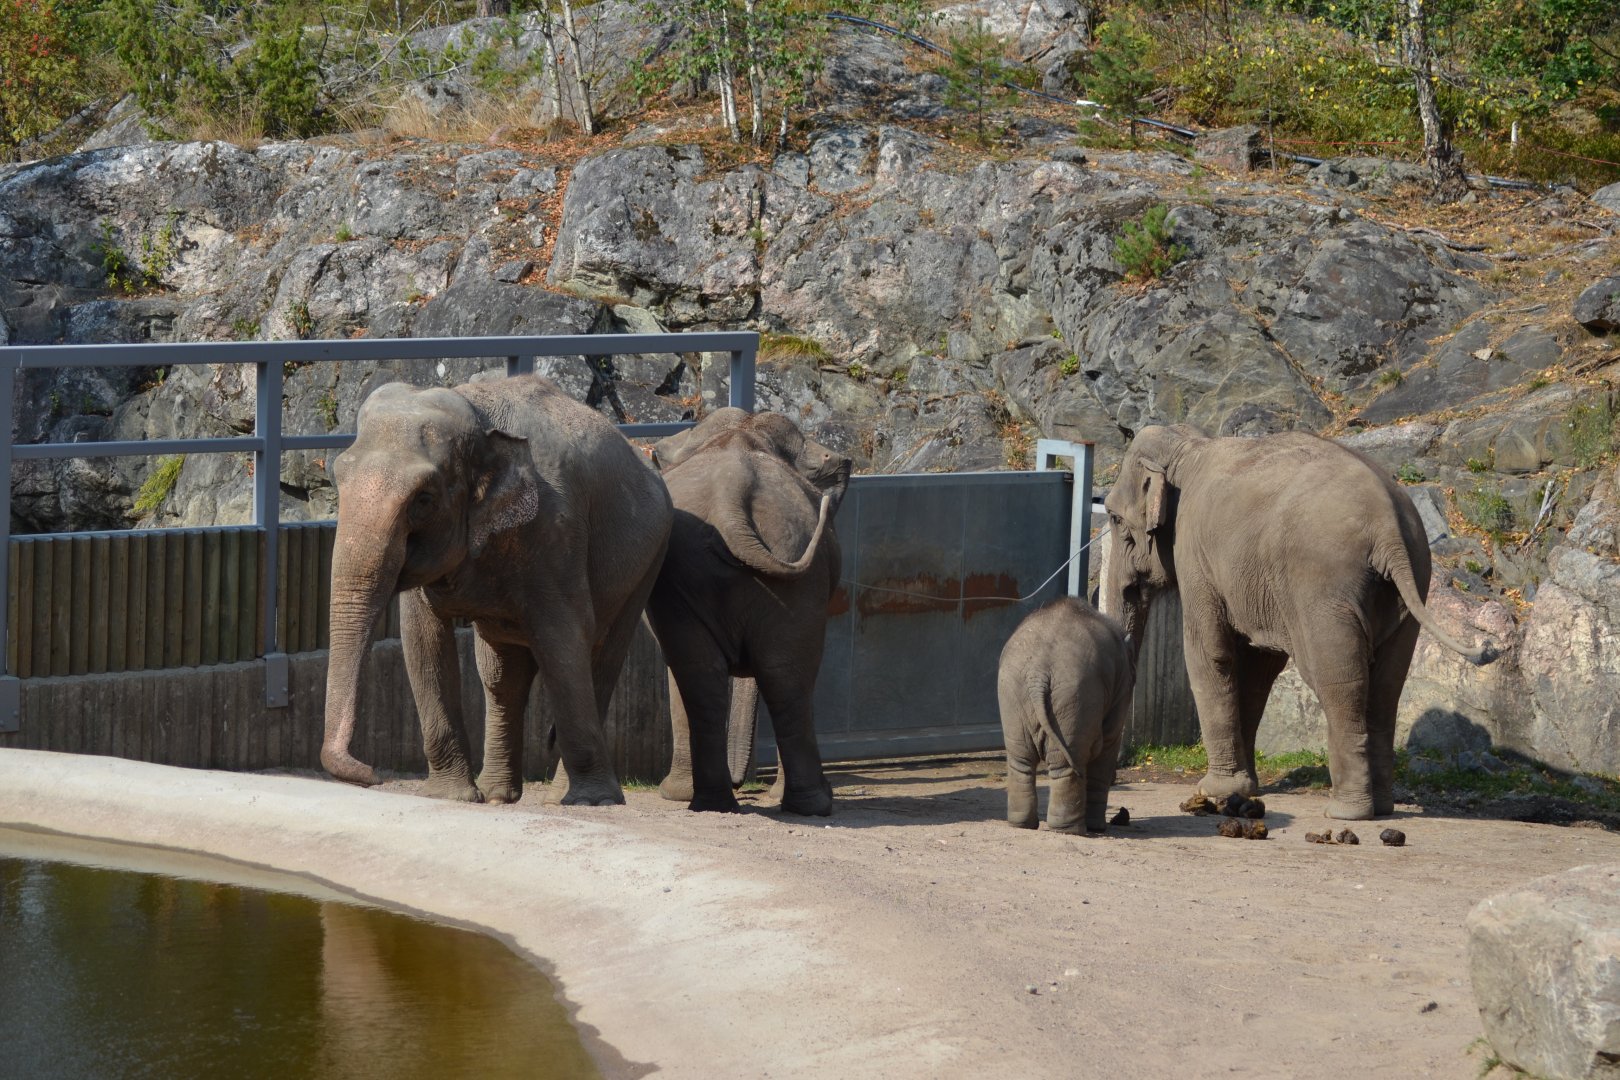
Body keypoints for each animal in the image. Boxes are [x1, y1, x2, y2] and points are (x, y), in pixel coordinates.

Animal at [321, 375, 673, 806]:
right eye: (338, 479)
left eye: (424, 498)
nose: (371, 773)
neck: (478, 414)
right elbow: (422, 640)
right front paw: (451, 796)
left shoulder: (555, 529)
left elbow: (563, 640)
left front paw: (590, 801)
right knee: (501, 674)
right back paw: (497, 795)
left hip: (650, 558)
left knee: (600, 660)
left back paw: (569, 797)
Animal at [643, 408, 851, 816]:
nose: (744, 784)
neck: (743, 432)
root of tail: (730, 501)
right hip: (787, 557)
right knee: (783, 676)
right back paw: (808, 804)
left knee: (715, 674)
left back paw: (718, 803)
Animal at [998, 597, 1135, 834]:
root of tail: (1038, 672)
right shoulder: (1120, 689)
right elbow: (1108, 745)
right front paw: (1098, 828)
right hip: (1077, 694)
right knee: (1069, 761)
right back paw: (1070, 829)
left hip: (1013, 694)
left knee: (1021, 759)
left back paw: (1022, 824)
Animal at [1104, 424, 1499, 821]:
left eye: (1114, 519)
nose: (1116, 779)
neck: (1187, 447)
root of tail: (1389, 527)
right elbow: (1258, 667)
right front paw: (1244, 791)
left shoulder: (1195, 556)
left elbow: (1210, 655)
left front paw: (1213, 791)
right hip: (1413, 580)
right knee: (1387, 686)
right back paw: (1382, 807)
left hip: (1323, 586)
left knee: (1336, 678)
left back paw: (1346, 811)